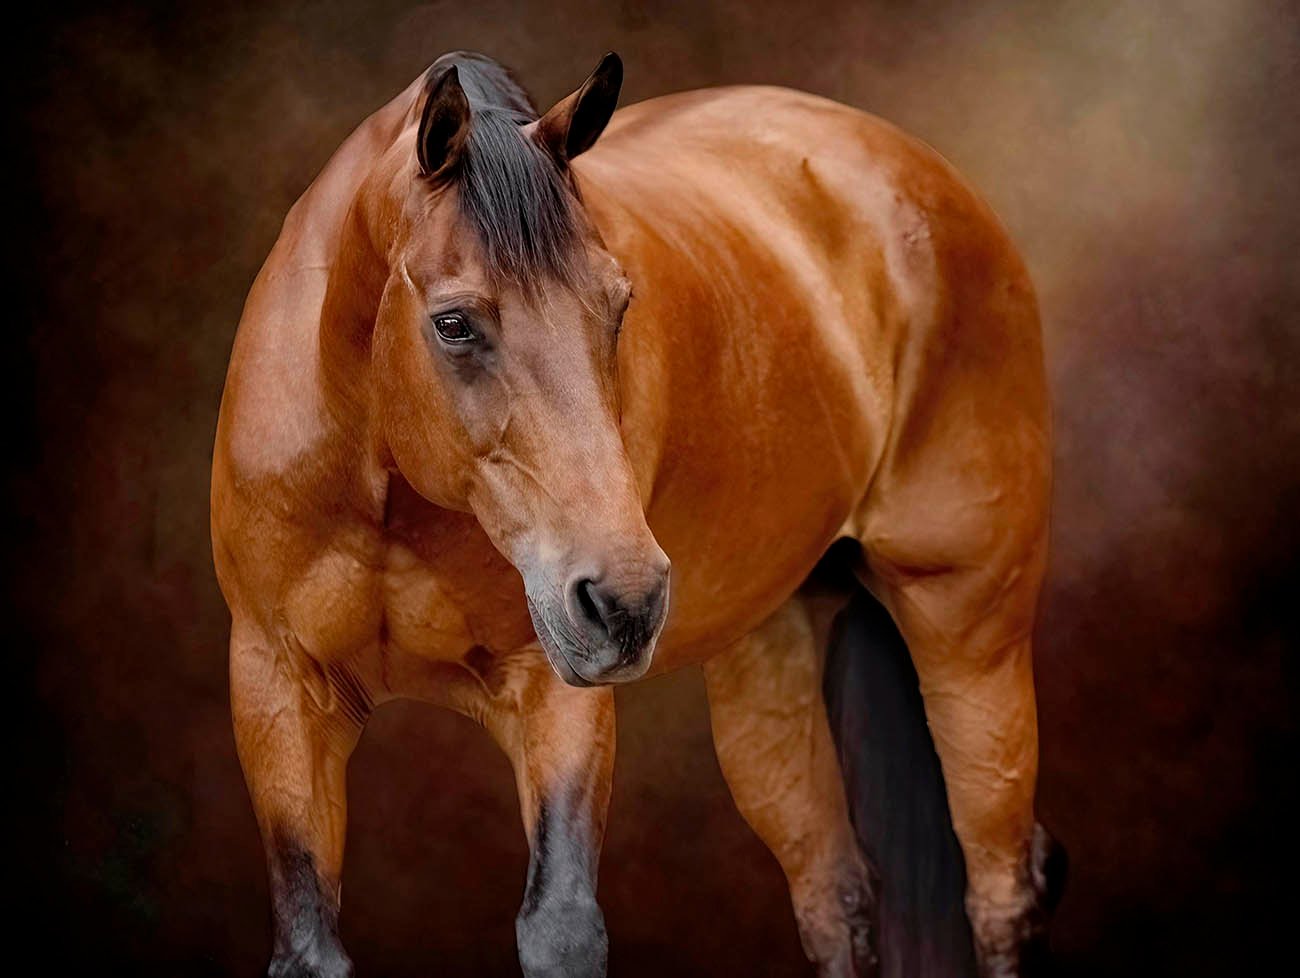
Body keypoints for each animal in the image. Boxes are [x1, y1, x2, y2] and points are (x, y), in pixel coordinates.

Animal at [211, 50, 1065, 978]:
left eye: (617, 306)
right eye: (454, 322)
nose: (625, 602)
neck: (383, 496)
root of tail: (916, 170)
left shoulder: (554, 688)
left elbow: (560, 925)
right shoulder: (279, 690)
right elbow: (310, 946)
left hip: (969, 636)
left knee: (999, 888)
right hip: (770, 659)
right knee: (837, 898)